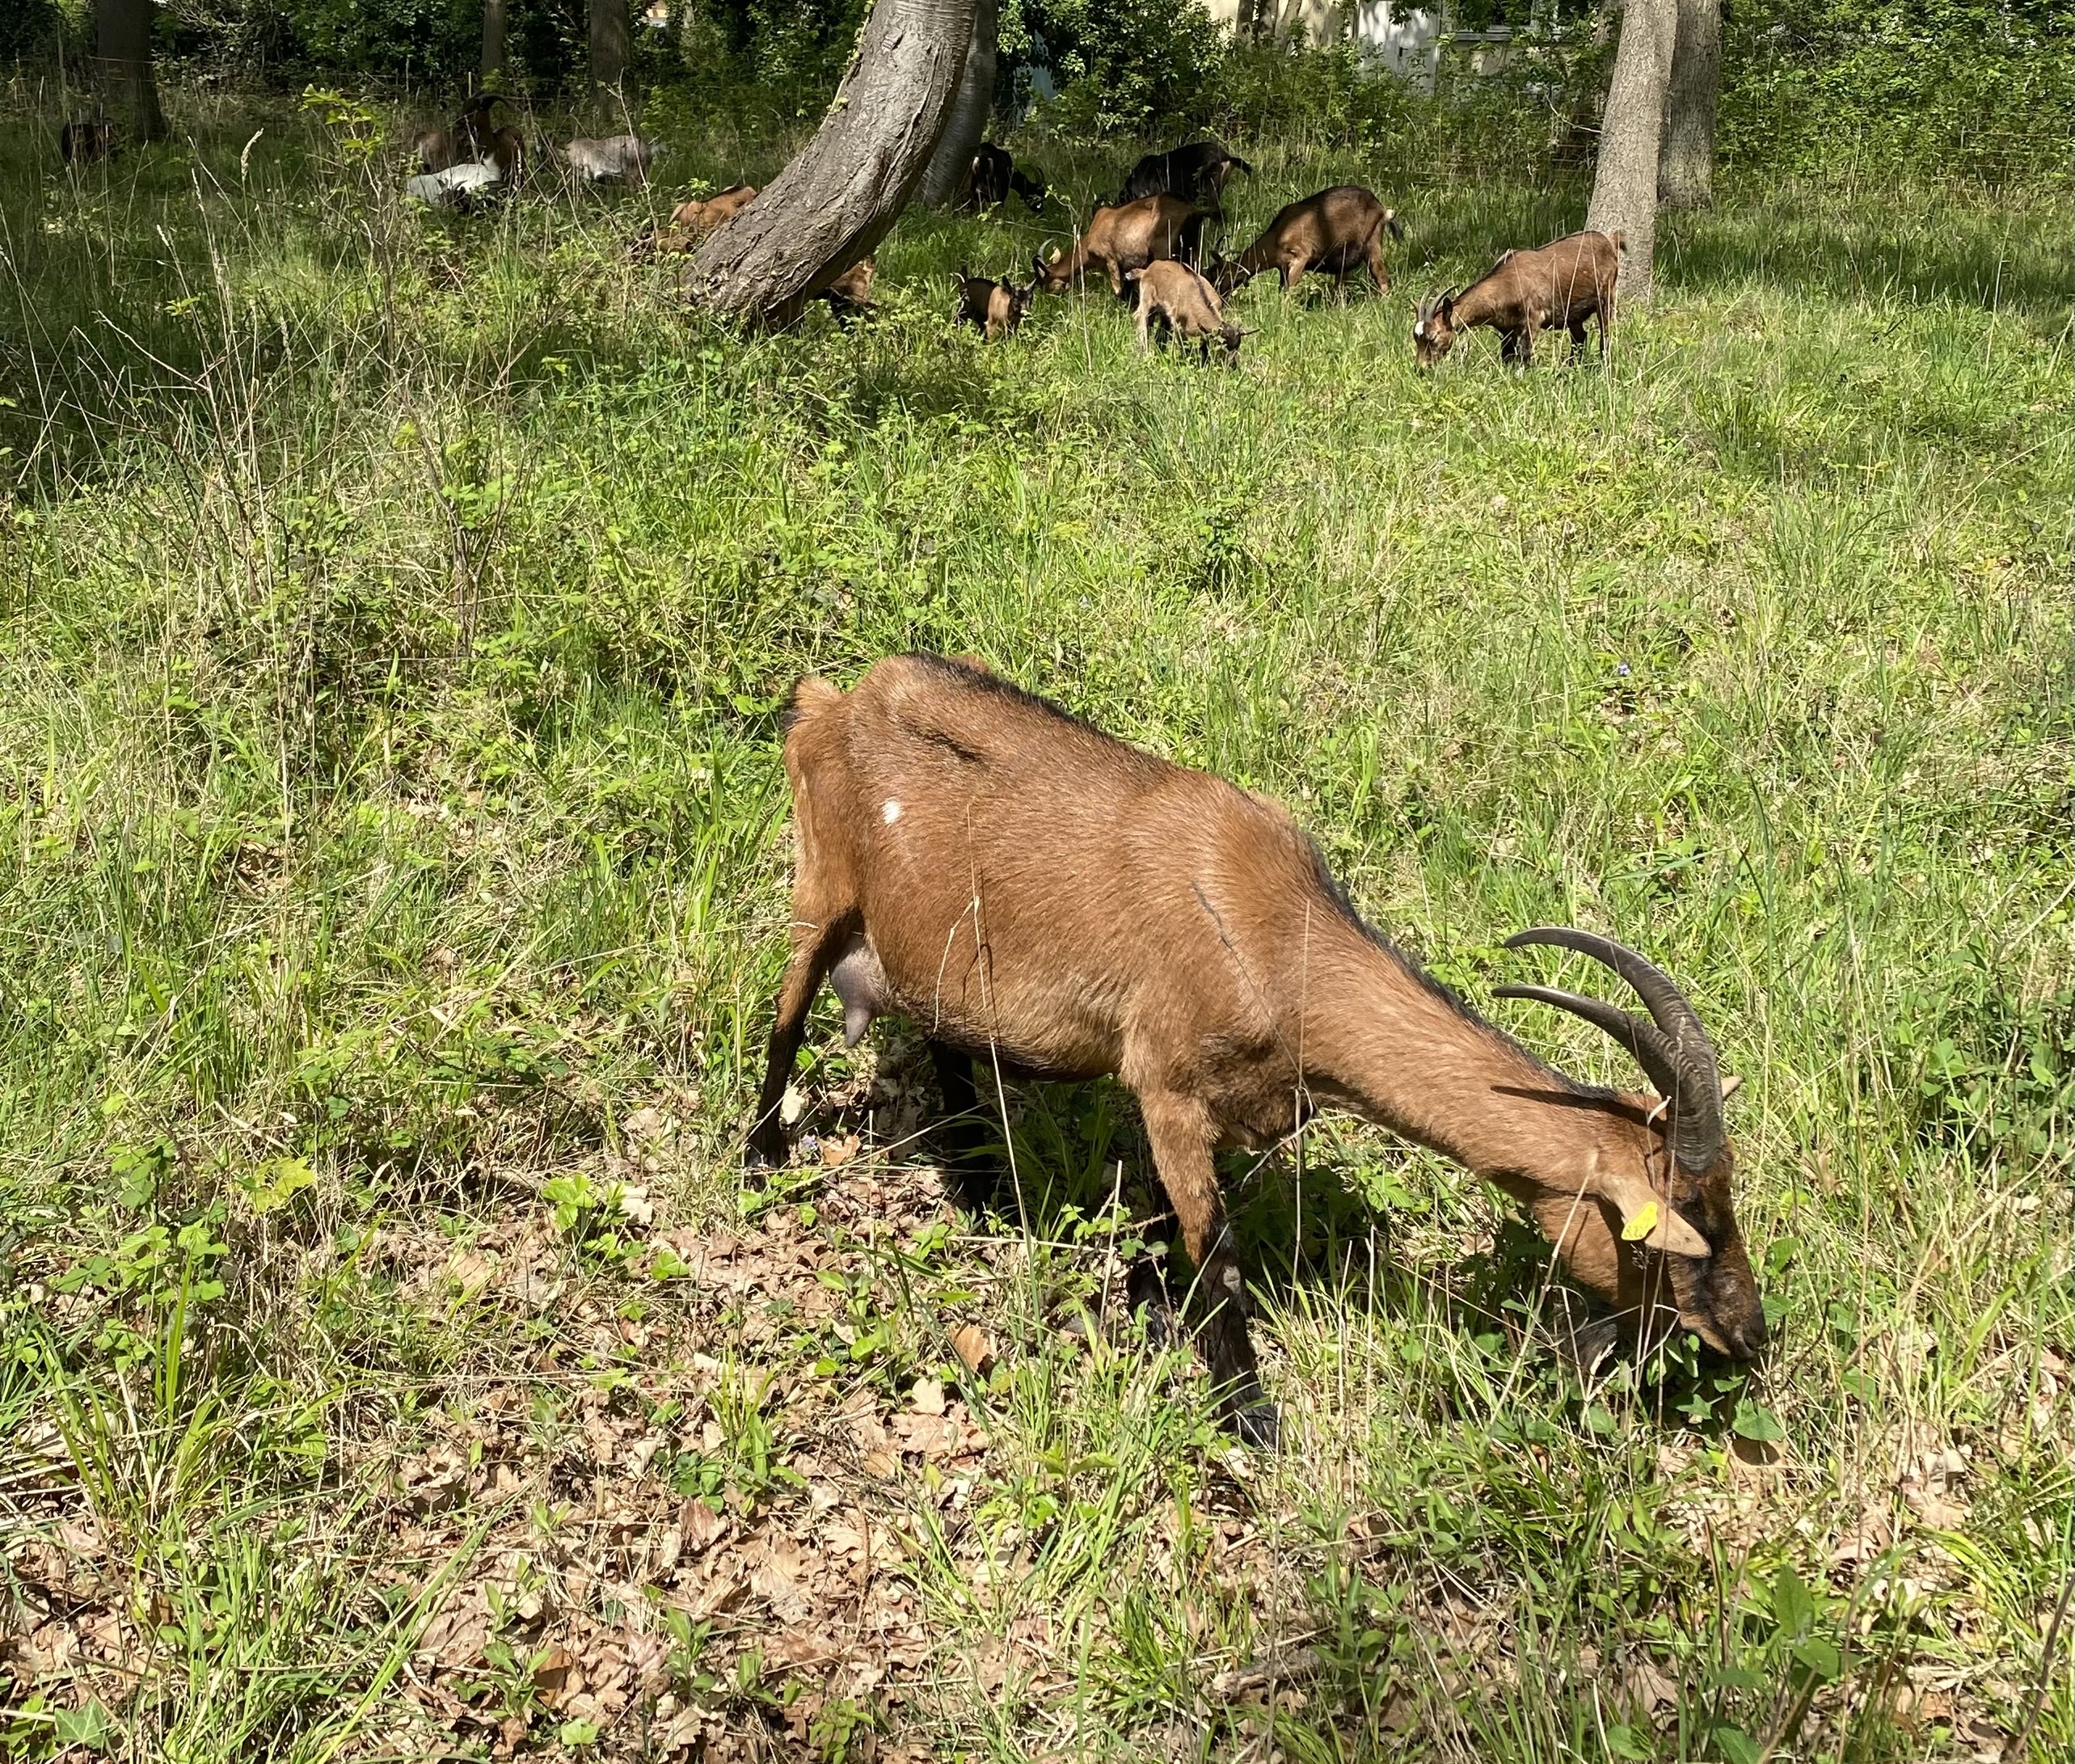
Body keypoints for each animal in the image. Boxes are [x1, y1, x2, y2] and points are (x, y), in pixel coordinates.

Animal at [747, 652, 1768, 1444]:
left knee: (947, 1043)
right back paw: (761, 1157)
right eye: (1685, 1226)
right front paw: (1249, 1417)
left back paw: (978, 1188)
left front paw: (1151, 1311)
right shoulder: (1163, 1086)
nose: (1750, 1337)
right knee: (784, 1017)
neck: (1276, 937)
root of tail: (834, 698)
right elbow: (1217, 1253)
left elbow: (1173, 1230)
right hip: (819, 889)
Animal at [1033, 196, 1212, 301]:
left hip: (1165, 253)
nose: (1047, 300)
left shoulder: (1110, 260)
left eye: (1045, 282)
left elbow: (1118, 291)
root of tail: (1194, 213)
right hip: (1192, 252)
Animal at [1128, 259, 1236, 363]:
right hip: (1146, 302)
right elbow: (1184, 346)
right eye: (1222, 347)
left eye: (1236, 347)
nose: (1232, 364)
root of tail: (1147, 271)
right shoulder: (1178, 325)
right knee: (1140, 321)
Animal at [1212, 184, 1402, 298]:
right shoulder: (1283, 268)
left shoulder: (1300, 256)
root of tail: (1382, 209)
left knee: (1383, 281)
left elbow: (1288, 293)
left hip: (1373, 243)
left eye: (1216, 275)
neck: (1277, 235)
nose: (1215, 296)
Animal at [1419, 228, 1626, 365]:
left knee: (1605, 334)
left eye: (1432, 338)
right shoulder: (1506, 329)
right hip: (1572, 313)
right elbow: (1507, 355)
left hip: (1607, 296)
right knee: (1580, 337)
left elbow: (1524, 353)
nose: (1422, 368)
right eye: (1416, 339)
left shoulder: (1533, 318)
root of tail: (1609, 241)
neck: (1507, 283)